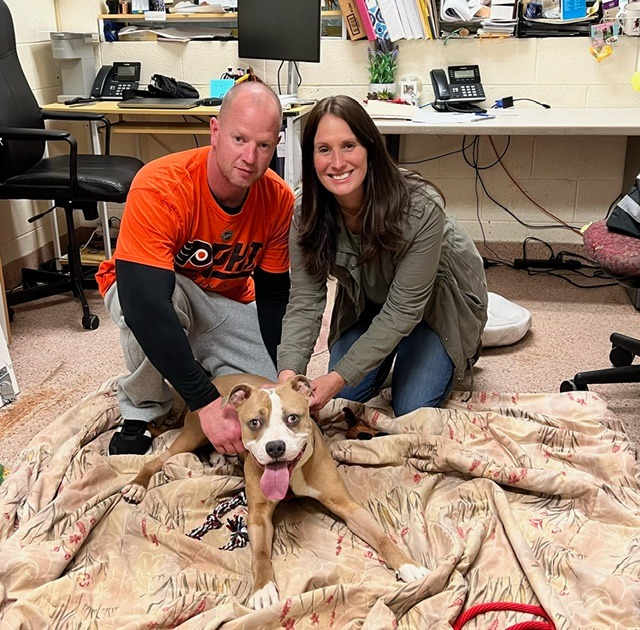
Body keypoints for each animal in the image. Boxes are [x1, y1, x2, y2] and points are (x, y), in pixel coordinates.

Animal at [120, 376, 430, 612]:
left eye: (292, 418)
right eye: (255, 423)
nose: (275, 447)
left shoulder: (347, 505)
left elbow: (381, 537)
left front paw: (409, 566)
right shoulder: (258, 515)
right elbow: (259, 554)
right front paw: (262, 589)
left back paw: (219, 458)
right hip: (192, 434)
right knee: (156, 460)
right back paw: (138, 484)